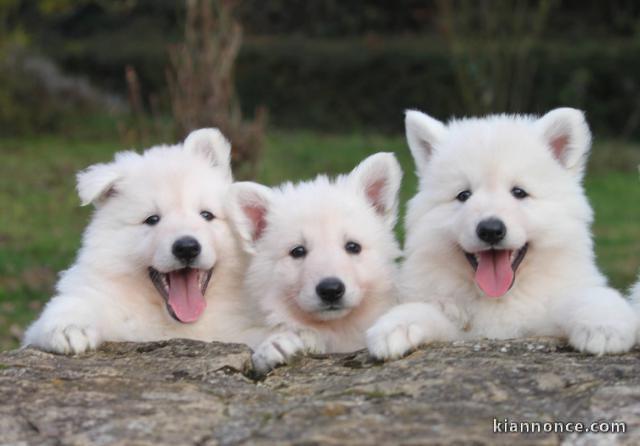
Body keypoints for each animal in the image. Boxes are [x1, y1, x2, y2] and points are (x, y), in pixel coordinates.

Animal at [368, 107, 636, 358]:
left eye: (519, 192)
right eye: (464, 195)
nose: (490, 230)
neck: (498, 300)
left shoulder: (548, 313)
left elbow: (588, 297)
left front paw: (604, 327)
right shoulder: (458, 329)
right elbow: (425, 310)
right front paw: (393, 327)